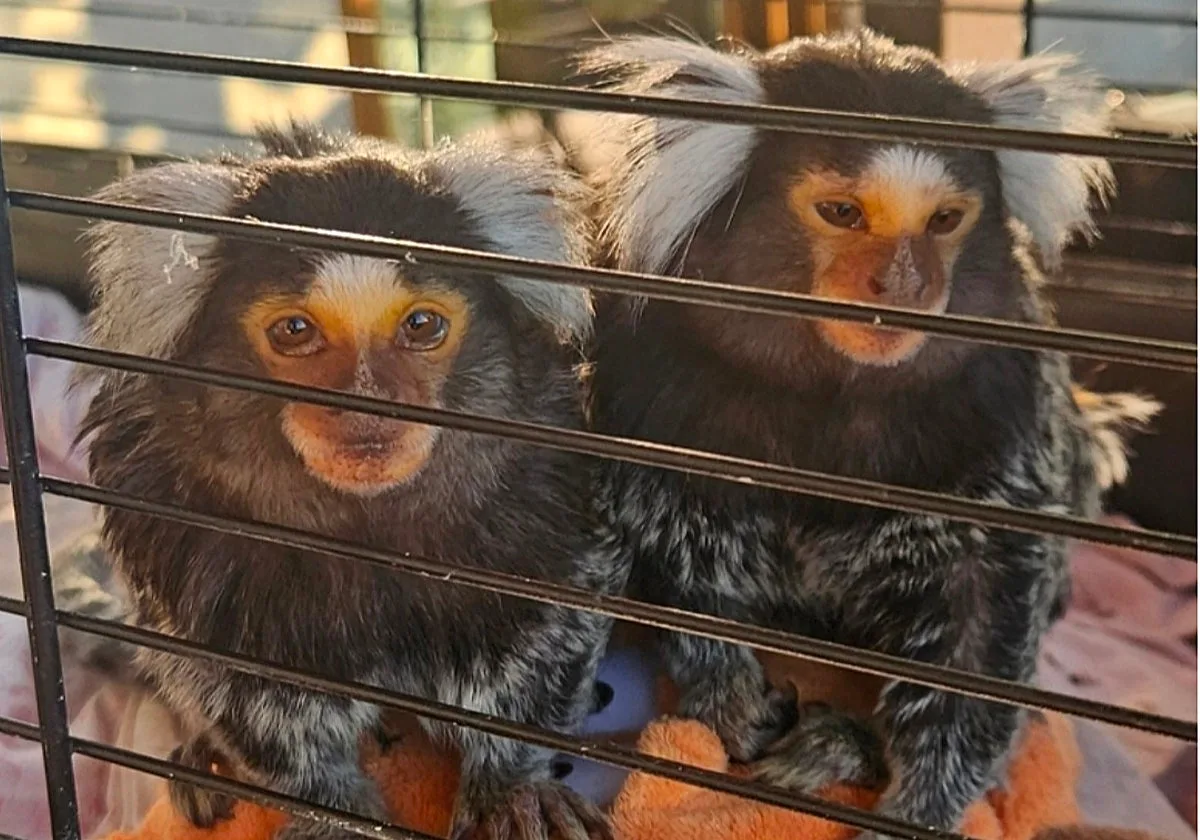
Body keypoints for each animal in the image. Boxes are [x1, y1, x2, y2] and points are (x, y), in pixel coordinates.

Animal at [77, 122, 625, 840]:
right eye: (294, 331)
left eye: (422, 325)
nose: (368, 403)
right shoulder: (177, 527)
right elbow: (252, 692)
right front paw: (335, 814)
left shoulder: (549, 496)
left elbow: (540, 636)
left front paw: (512, 787)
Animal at [575, 31, 1162, 837]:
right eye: (842, 212)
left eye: (944, 221)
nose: (906, 287)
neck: (830, 398)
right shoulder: (649, 389)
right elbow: (679, 553)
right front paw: (730, 700)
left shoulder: (1006, 411)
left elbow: (981, 613)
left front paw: (918, 806)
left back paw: (840, 746)